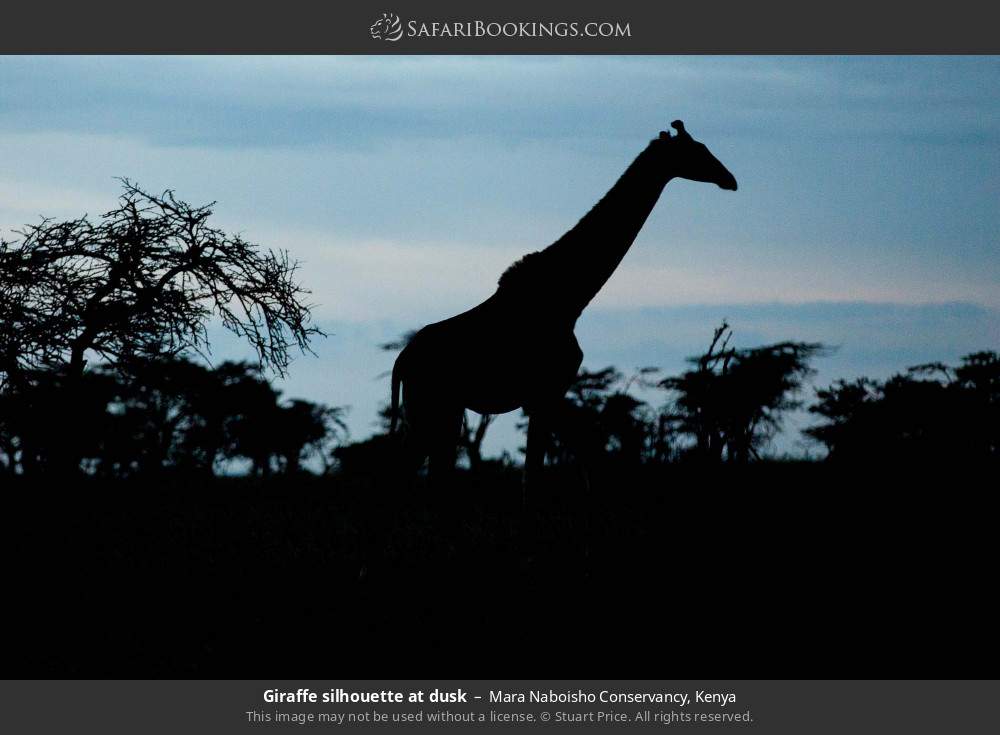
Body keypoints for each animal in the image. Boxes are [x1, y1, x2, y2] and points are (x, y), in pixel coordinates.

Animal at [390, 120, 738, 484]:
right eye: (697, 150)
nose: (730, 179)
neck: (570, 297)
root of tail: (402, 360)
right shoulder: (546, 393)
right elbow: (540, 472)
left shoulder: (546, 397)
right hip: (433, 409)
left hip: (438, 412)